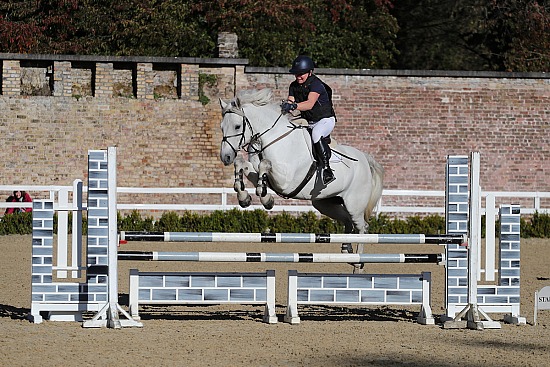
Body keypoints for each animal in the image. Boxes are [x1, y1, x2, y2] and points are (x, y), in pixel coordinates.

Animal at [219, 88, 384, 258]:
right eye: (221, 127)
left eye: (237, 126)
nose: (226, 157)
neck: (271, 138)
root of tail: (365, 159)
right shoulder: (259, 172)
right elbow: (242, 164)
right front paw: (244, 197)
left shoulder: (285, 182)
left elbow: (265, 165)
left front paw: (266, 199)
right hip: (324, 203)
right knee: (347, 221)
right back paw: (346, 249)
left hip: (354, 205)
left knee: (362, 227)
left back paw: (358, 260)